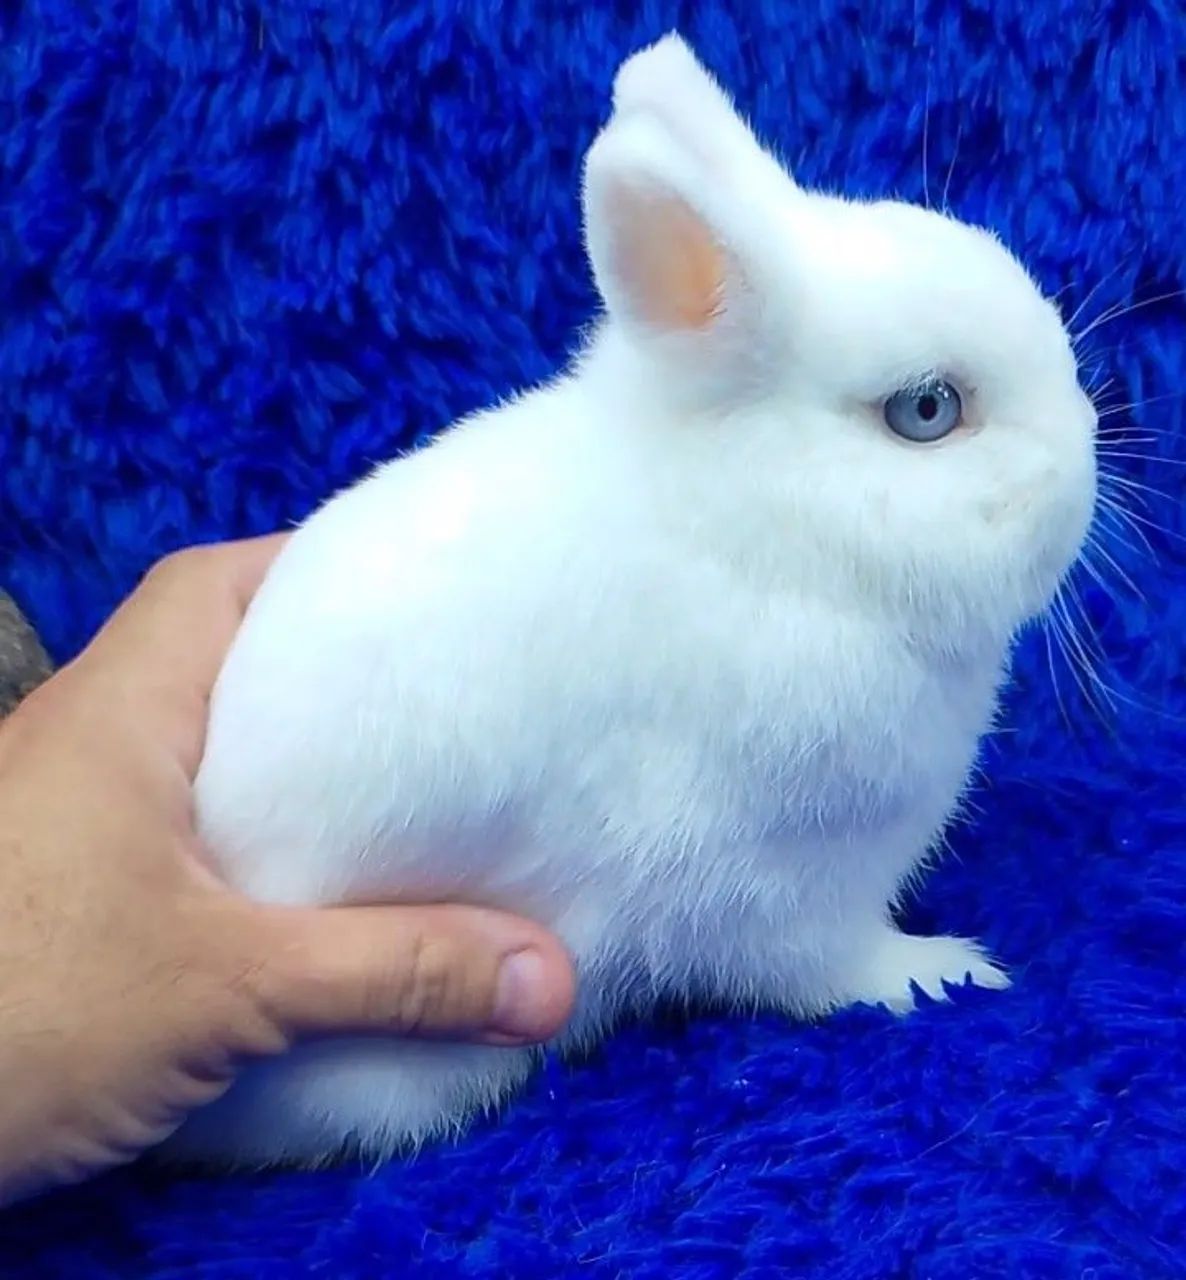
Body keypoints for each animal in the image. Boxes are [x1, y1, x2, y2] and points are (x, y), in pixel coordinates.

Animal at [165, 33, 1098, 1167]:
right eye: (927, 409)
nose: (1091, 451)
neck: (765, 539)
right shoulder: (777, 878)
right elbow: (827, 967)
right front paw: (946, 969)